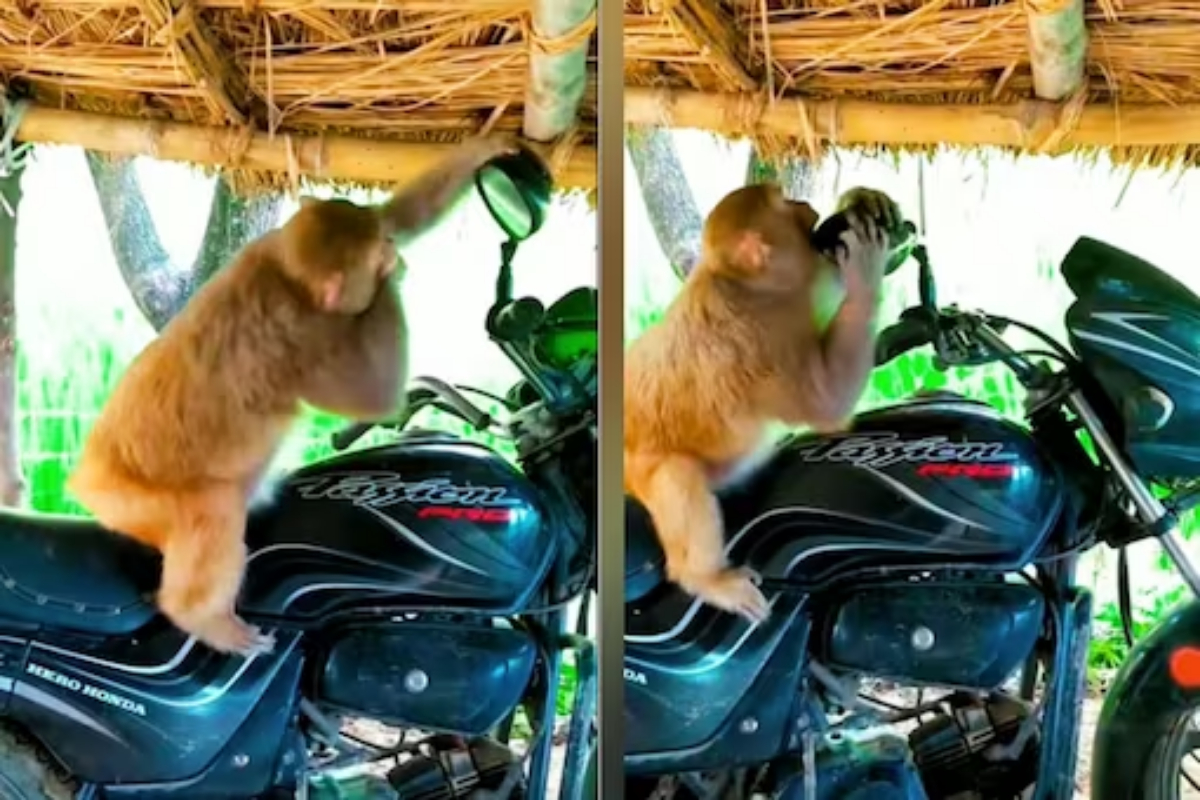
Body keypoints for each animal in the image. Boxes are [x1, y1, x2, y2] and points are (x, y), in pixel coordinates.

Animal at [67, 134, 518, 657]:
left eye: (382, 236)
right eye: (379, 253)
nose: (396, 257)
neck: (289, 280)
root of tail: (84, 483)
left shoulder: (271, 245)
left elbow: (398, 212)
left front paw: (485, 148)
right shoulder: (308, 336)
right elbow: (375, 398)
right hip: (133, 500)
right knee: (212, 509)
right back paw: (203, 618)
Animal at [624, 183, 902, 624]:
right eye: (787, 205)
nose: (805, 205)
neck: (744, 285)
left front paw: (863, 201)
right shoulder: (756, 338)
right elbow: (826, 403)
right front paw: (865, 267)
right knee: (677, 475)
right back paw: (706, 579)